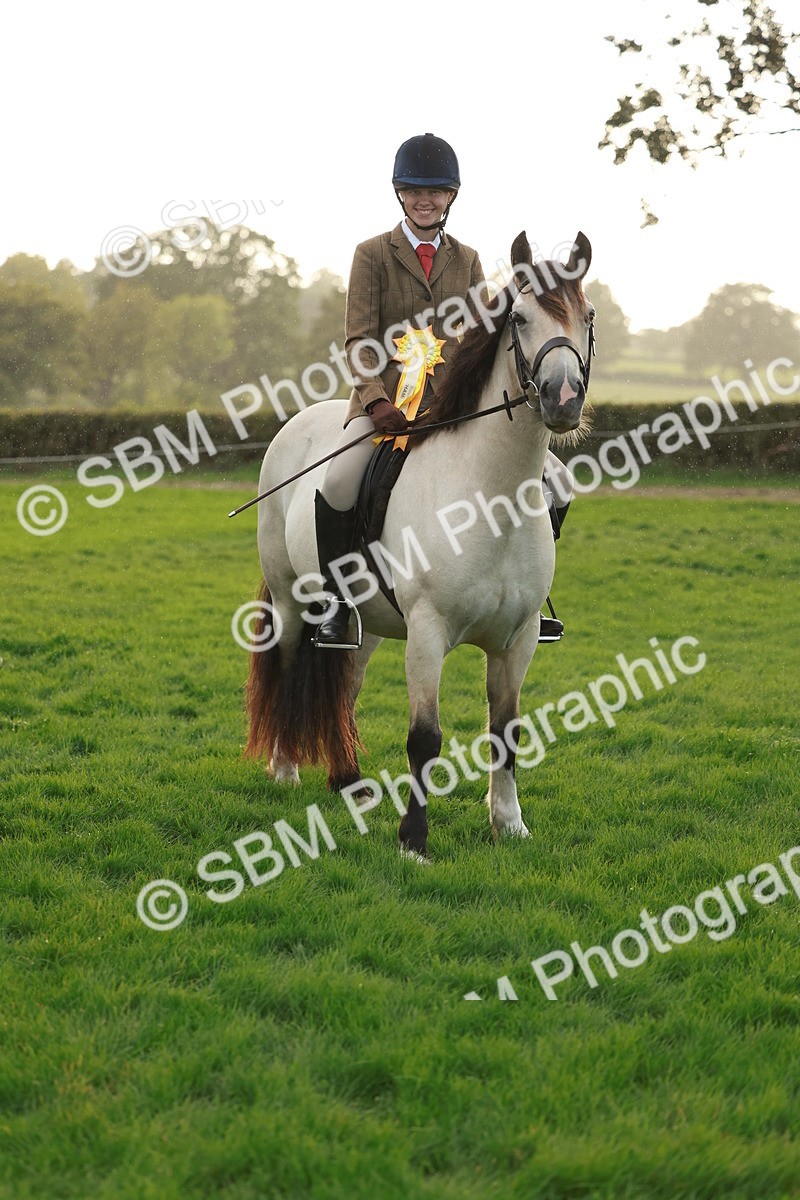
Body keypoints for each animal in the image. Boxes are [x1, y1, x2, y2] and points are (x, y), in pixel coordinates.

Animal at [244, 231, 594, 859]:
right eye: (519, 317)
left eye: (589, 316)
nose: (563, 398)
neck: (490, 497)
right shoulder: (429, 632)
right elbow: (425, 738)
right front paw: (414, 840)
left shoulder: (519, 639)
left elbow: (506, 731)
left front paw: (509, 824)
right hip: (289, 598)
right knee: (286, 665)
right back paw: (285, 770)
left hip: (368, 623)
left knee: (348, 683)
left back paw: (349, 783)